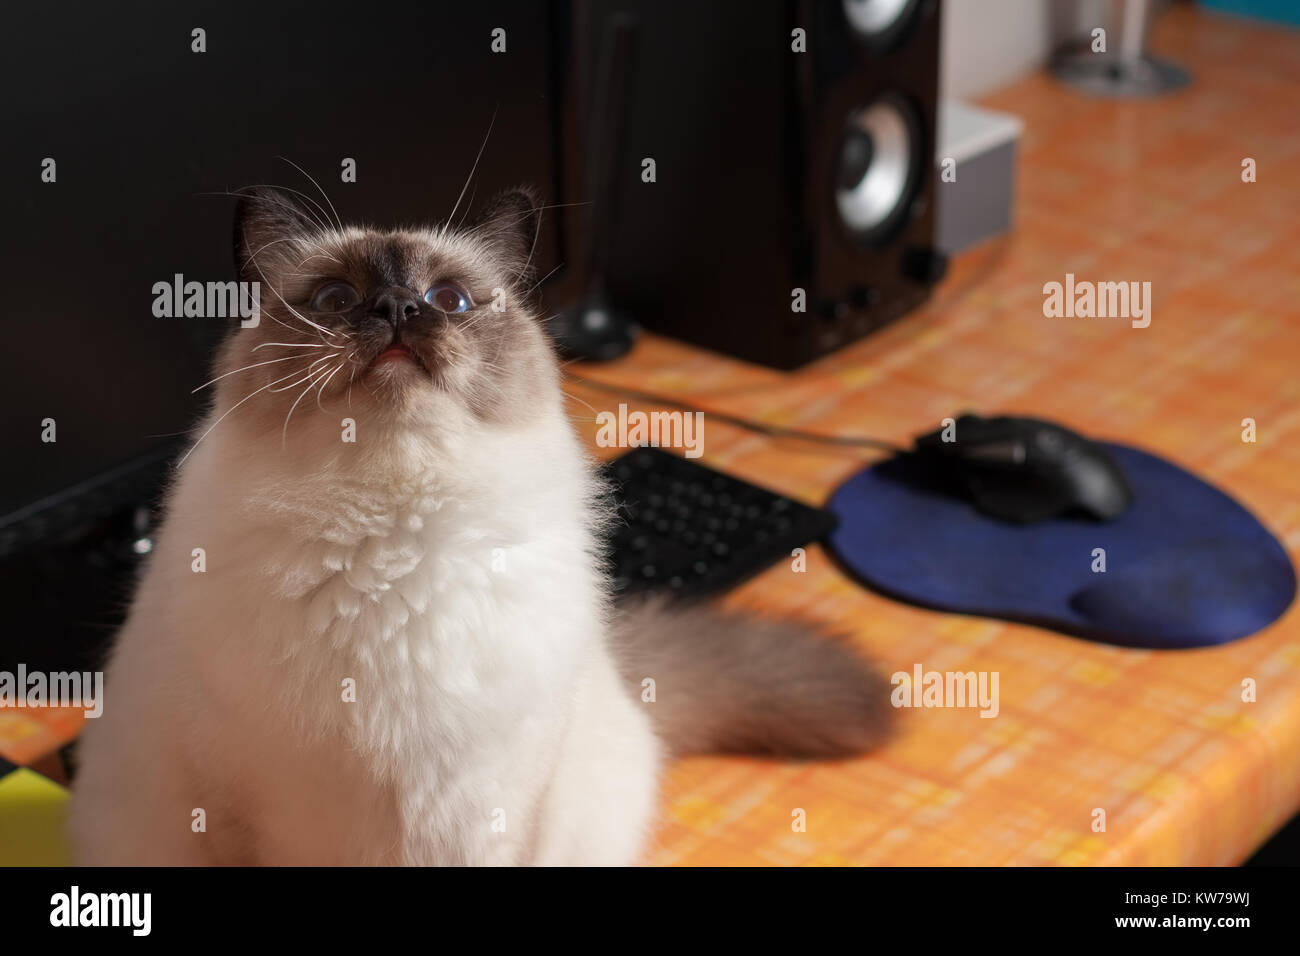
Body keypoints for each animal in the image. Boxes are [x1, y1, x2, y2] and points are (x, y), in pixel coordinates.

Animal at [68, 183, 894, 863]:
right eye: (335, 299)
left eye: (451, 299)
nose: (397, 311)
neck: (393, 546)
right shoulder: (235, 807)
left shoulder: (491, 808)